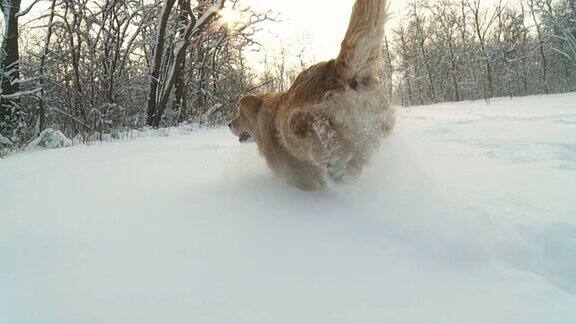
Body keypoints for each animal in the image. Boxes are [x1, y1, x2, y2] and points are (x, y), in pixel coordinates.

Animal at [230, 0, 396, 190]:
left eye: (239, 113)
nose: (229, 124)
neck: (263, 115)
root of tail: (335, 69)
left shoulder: (296, 174)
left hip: (294, 127)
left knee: (315, 127)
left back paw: (334, 163)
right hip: (376, 125)